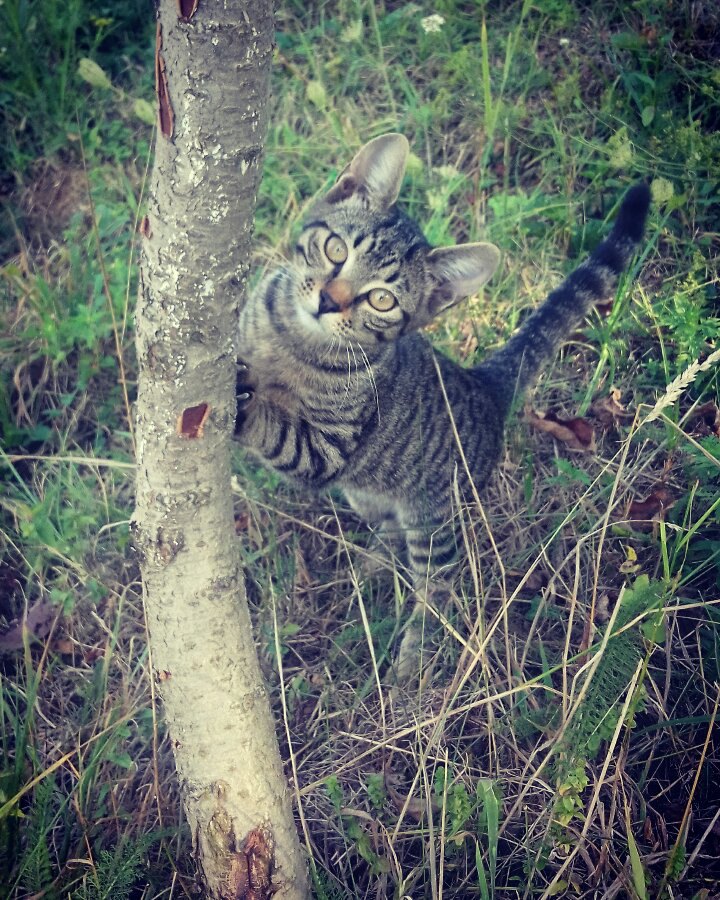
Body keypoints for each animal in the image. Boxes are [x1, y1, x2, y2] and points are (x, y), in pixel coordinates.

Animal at [238, 132, 652, 668]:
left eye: (382, 300)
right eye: (335, 249)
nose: (329, 300)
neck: (290, 343)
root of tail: (484, 384)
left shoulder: (327, 451)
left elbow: (278, 430)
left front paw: (245, 407)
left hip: (434, 520)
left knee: (438, 588)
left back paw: (413, 659)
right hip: (367, 493)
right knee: (389, 532)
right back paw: (375, 561)